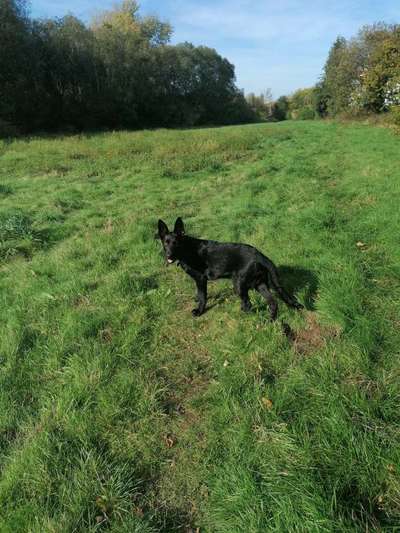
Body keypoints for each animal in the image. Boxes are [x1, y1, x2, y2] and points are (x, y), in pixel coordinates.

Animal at [156, 217, 304, 320]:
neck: (186, 249)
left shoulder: (201, 279)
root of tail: (260, 256)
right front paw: (197, 299)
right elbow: (199, 294)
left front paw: (199, 311)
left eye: (176, 243)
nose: (168, 255)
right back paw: (271, 320)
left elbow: (203, 296)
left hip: (239, 283)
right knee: (272, 302)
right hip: (259, 283)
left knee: (248, 304)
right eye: (165, 243)